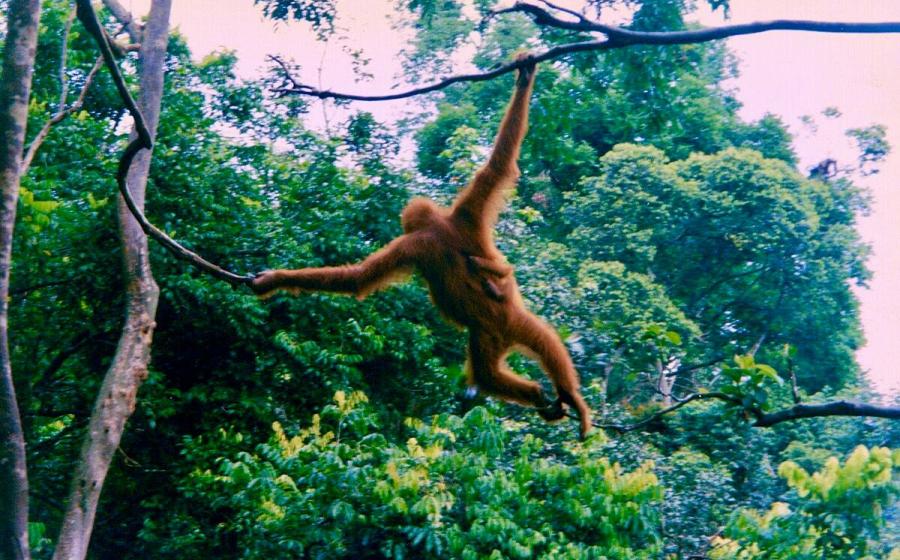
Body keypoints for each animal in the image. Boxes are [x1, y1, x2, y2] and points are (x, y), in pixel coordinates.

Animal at [252, 54, 593, 439]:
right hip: (502, 327)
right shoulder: (466, 213)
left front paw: (274, 280)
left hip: (494, 326)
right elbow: (497, 166)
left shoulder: (416, 240)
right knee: (522, 356)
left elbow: (359, 278)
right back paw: (548, 395)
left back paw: (564, 398)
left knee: (505, 363)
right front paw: (524, 77)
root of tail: (504, 330)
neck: (438, 226)